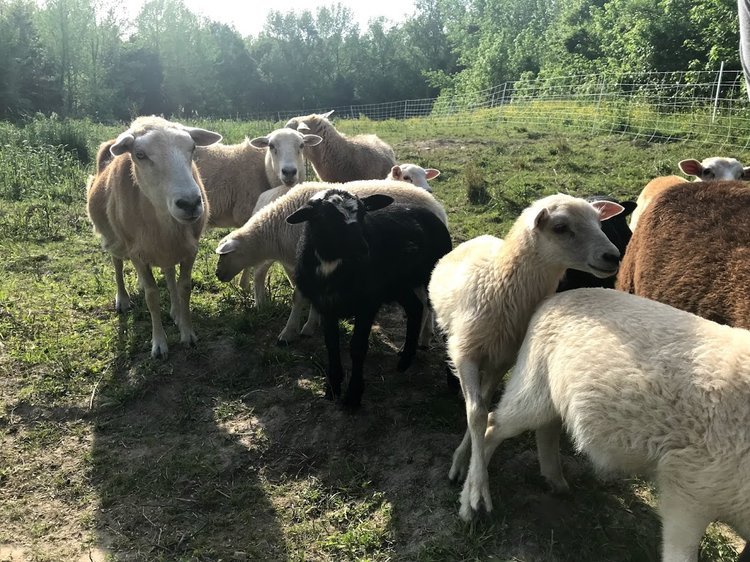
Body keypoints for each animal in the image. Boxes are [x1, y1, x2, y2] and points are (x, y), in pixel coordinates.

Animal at [86, 116, 222, 358]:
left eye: (192, 148)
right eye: (140, 154)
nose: (190, 203)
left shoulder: (190, 249)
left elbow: (184, 287)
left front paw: (187, 333)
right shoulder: (137, 253)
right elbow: (152, 296)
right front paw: (159, 344)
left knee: (168, 272)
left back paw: (175, 310)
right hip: (116, 241)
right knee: (117, 264)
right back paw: (122, 299)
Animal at [215, 181, 448, 345]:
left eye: (224, 255)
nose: (218, 275)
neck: (274, 231)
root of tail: (438, 208)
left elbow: (299, 296)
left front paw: (295, 330)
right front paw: (312, 322)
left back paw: (423, 336)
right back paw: (424, 336)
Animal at [286, 188, 452, 409]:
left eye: (363, 213)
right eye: (324, 217)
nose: (362, 249)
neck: (333, 263)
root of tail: (429, 213)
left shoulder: (367, 305)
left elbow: (357, 348)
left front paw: (353, 397)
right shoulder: (327, 306)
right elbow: (331, 345)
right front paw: (332, 388)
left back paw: (453, 380)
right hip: (398, 284)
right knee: (415, 308)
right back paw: (405, 359)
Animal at [427, 193, 624, 521]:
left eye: (599, 222)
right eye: (560, 227)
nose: (613, 257)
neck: (500, 283)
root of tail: (481, 237)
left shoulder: (501, 359)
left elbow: (482, 408)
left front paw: (467, 462)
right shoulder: (465, 352)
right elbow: (476, 413)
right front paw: (475, 492)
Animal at [482, 288, 750, 562]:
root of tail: (558, 297)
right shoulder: (689, 490)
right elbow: (680, 552)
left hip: (551, 395)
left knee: (546, 429)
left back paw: (557, 482)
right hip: (533, 385)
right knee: (493, 425)